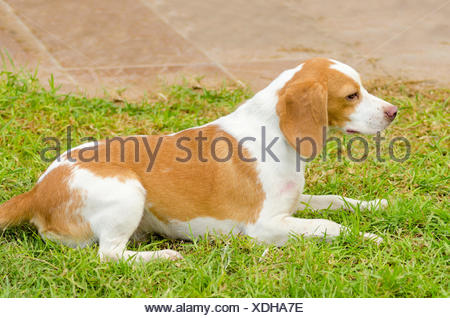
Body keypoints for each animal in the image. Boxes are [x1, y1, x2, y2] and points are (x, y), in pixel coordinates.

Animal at [0, 58, 398, 262]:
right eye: (352, 95)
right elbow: (329, 226)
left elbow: (337, 201)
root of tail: (36, 191)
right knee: (109, 255)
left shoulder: (294, 203)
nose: (394, 111)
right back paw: (162, 257)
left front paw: (377, 206)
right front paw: (369, 236)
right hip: (128, 191)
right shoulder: (265, 227)